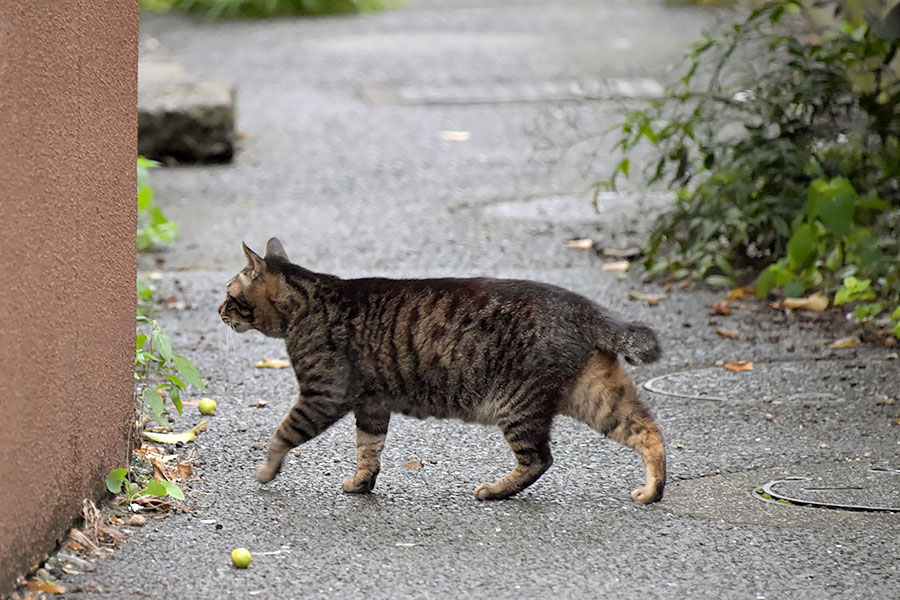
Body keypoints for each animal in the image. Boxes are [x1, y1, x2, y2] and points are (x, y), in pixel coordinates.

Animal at [220, 238, 660, 502]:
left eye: (228, 293)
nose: (219, 310)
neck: (308, 303)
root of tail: (583, 306)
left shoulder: (323, 394)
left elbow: (283, 433)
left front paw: (266, 471)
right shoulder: (372, 403)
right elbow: (369, 449)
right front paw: (362, 483)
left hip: (518, 404)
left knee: (539, 459)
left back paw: (496, 491)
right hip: (595, 395)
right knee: (648, 432)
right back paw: (653, 490)